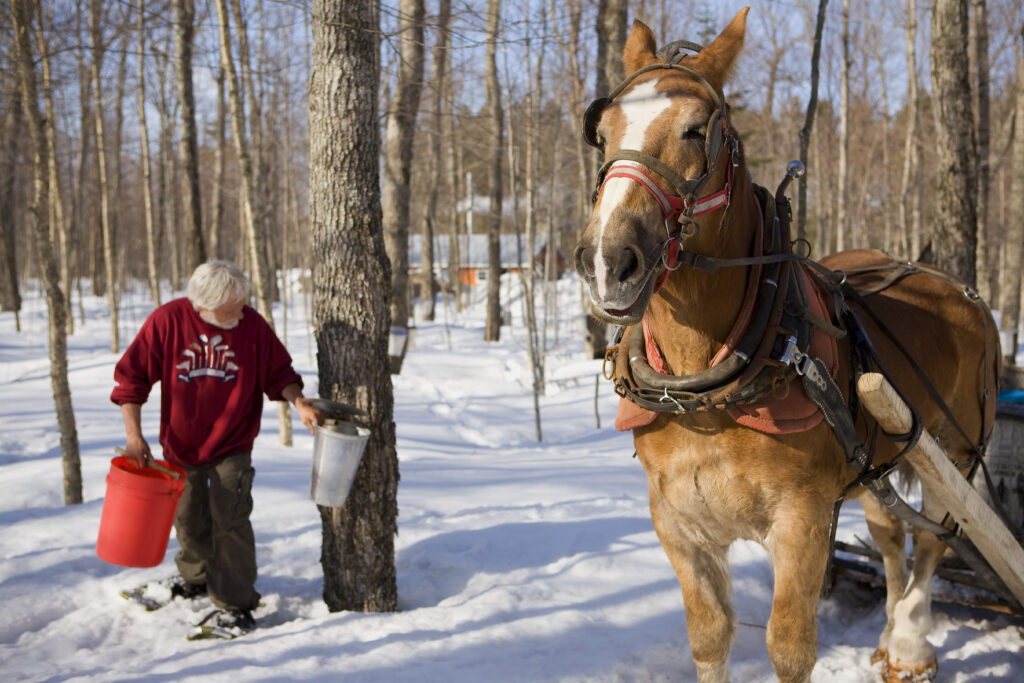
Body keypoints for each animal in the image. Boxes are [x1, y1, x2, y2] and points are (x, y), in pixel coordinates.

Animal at [577, 10, 999, 683]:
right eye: (603, 130)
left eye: (696, 130)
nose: (606, 262)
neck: (709, 391)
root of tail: (954, 285)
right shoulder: (676, 521)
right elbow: (710, 637)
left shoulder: (802, 520)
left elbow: (790, 646)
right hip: (880, 454)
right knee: (890, 534)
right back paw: (889, 634)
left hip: (956, 451)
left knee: (936, 538)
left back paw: (910, 643)